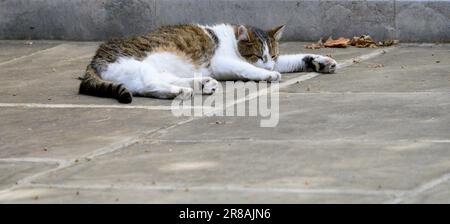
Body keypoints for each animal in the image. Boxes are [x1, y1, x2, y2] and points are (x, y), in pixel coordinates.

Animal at [79, 23, 336, 103]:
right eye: (257, 56)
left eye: (272, 55)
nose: (269, 66)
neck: (231, 39)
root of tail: (95, 57)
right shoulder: (222, 63)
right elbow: (246, 68)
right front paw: (268, 75)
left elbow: (294, 59)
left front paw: (320, 61)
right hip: (139, 65)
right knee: (148, 86)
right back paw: (179, 91)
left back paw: (200, 85)